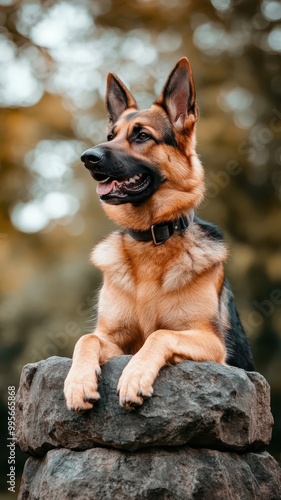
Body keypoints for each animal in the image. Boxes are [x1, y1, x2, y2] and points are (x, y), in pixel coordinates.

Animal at [64, 57, 254, 410]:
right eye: (110, 135)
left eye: (142, 135)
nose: (87, 158)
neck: (152, 236)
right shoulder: (113, 339)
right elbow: (87, 338)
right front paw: (78, 382)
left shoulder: (211, 342)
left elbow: (159, 334)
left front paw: (134, 376)